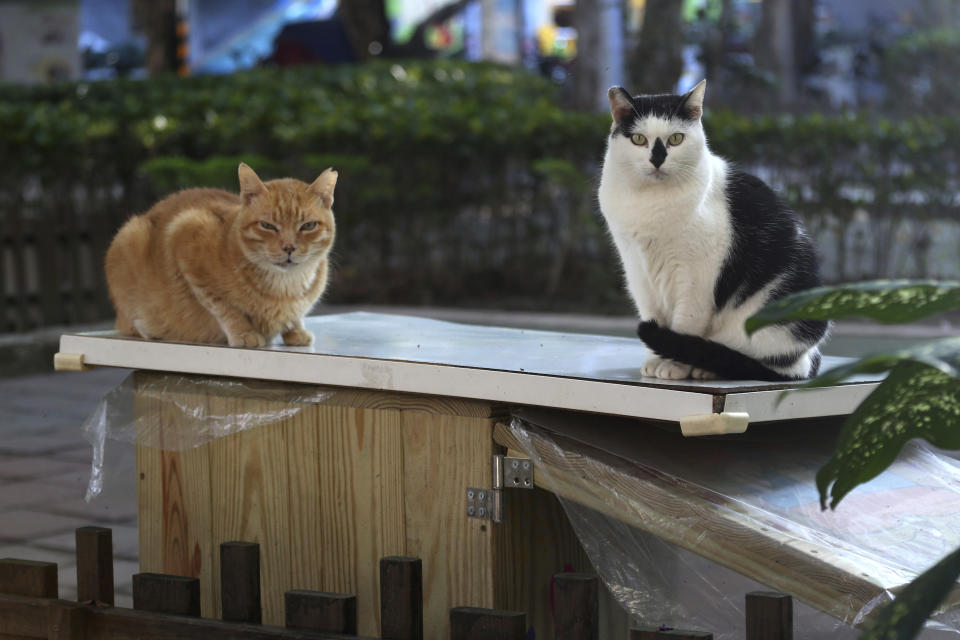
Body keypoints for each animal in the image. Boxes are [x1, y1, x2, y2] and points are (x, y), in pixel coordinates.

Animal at [104, 162, 338, 348]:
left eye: (308, 226)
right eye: (267, 226)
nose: (289, 247)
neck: (286, 286)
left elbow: (295, 316)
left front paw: (296, 331)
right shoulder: (185, 232)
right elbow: (223, 305)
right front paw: (244, 332)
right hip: (130, 235)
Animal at [600, 80, 824, 380]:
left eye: (676, 139)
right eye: (638, 139)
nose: (657, 160)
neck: (651, 204)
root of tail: (810, 357)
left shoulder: (696, 277)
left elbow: (684, 324)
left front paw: (673, 365)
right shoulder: (637, 270)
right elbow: (653, 315)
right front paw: (656, 359)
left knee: (770, 362)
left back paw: (708, 367)